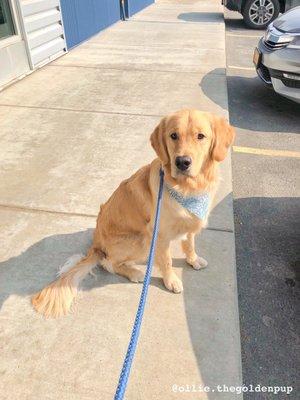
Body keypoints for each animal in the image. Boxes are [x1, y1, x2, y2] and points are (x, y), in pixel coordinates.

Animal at [31, 108, 236, 318]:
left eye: (200, 136)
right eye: (173, 135)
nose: (182, 162)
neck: (188, 189)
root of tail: (96, 245)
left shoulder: (190, 224)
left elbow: (189, 245)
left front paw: (193, 260)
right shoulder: (159, 234)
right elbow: (167, 261)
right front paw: (171, 281)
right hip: (142, 239)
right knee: (108, 263)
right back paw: (135, 273)